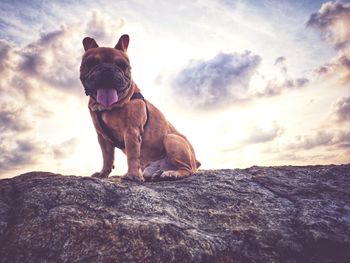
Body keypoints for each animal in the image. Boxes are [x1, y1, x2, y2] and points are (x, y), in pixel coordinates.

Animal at [79, 34, 200, 184]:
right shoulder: (103, 137)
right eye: (90, 63)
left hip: (172, 139)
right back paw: (159, 174)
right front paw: (103, 174)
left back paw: (172, 173)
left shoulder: (131, 131)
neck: (109, 107)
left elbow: (132, 155)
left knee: (188, 169)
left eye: (123, 65)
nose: (107, 69)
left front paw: (132, 175)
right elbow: (107, 157)